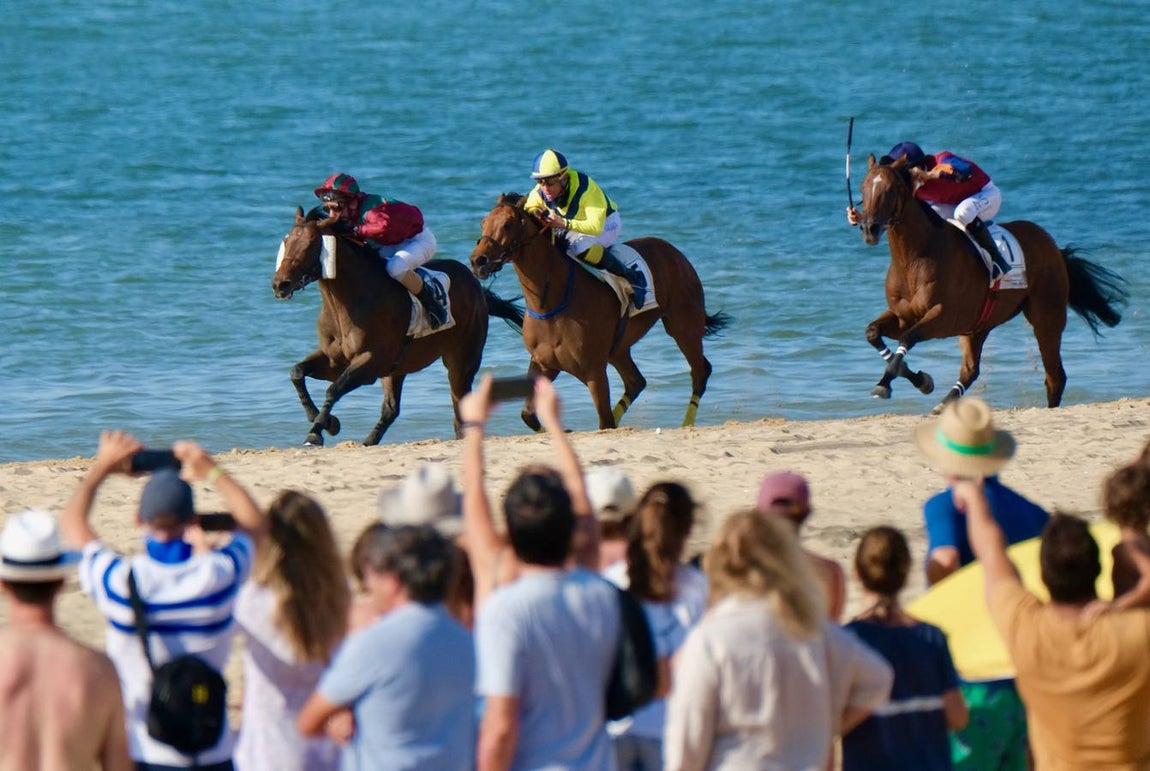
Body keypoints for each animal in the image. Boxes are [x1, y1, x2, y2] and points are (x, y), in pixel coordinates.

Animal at [272, 207, 523, 446]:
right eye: (286, 242)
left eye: (311, 244)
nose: (279, 284)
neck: (347, 300)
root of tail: (477, 287)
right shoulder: (334, 360)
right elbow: (297, 372)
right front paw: (322, 421)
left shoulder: (370, 362)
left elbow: (333, 389)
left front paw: (318, 431)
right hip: (397, 368)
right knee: (391, 409)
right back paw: (368, 441)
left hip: (461, 360)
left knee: (459, 402)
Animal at [470, 193, 730, 430]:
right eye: (483, 222)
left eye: (508, 224)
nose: (477, 261)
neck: (553, 302)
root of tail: (674, 251)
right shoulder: (544, 364)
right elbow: (528, 416)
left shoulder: (594, 372)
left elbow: (604, 421)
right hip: (619, 349)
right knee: (636, 382)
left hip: (683, 326)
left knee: (700, 372)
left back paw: (687, 424)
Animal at [855, 154, 1128, 411]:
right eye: (862, 188)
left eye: (891, 189)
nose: (869, 228)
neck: (914, 260)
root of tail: (1054, 248)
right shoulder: (904, 315)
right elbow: (873, 333)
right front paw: (919, 380)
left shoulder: (943, 316)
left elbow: (908, 338)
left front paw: (889, 383)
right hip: (979, 326)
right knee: (971, 370)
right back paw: (943, 405)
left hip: (1046, 317)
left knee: (1055, 376)